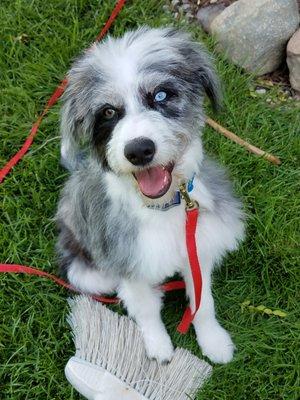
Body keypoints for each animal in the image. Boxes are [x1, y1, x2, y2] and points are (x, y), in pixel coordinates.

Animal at [55, 26, 244, 366]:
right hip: (88, 273)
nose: (139, 150)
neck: (162, 208)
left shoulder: (200, 247)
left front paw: (213, 341)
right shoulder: (128, 261)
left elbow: (203, 302)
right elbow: (145, 309)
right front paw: (159, 348)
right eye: (108, 112)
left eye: (161, 95)